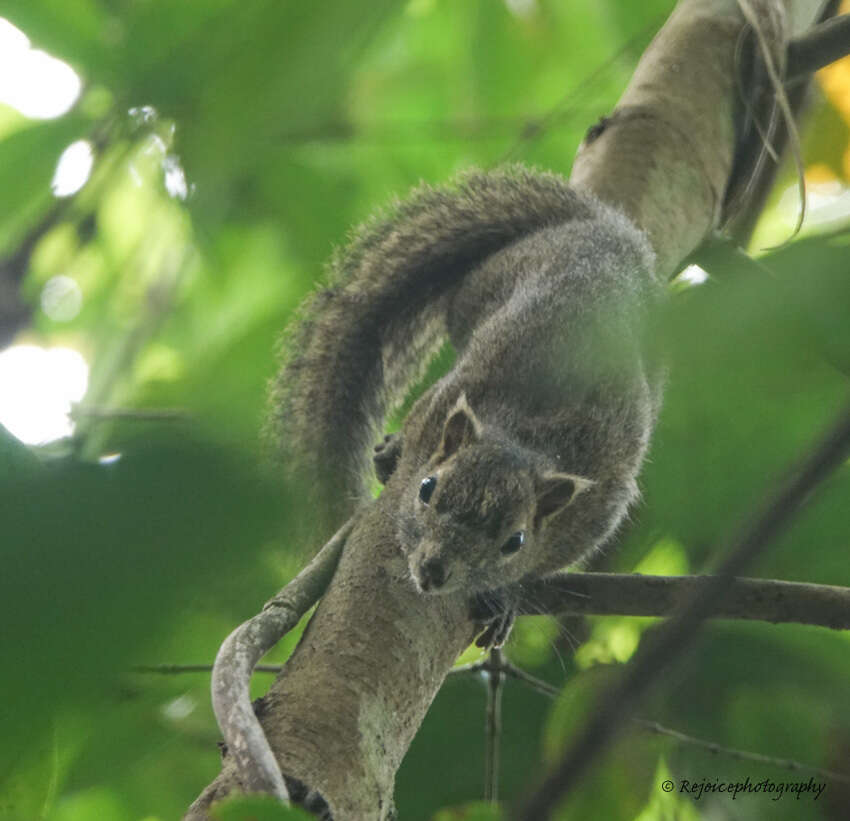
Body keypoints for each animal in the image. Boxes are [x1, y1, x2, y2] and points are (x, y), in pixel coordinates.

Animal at [272, 165, 664, 640]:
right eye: (427, 489)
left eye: (515, 541)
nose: (433, 570)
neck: (522, 438)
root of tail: (611, 231)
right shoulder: (438, 407)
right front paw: (395, 454)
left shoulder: (595, 510)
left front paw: (504, 599)